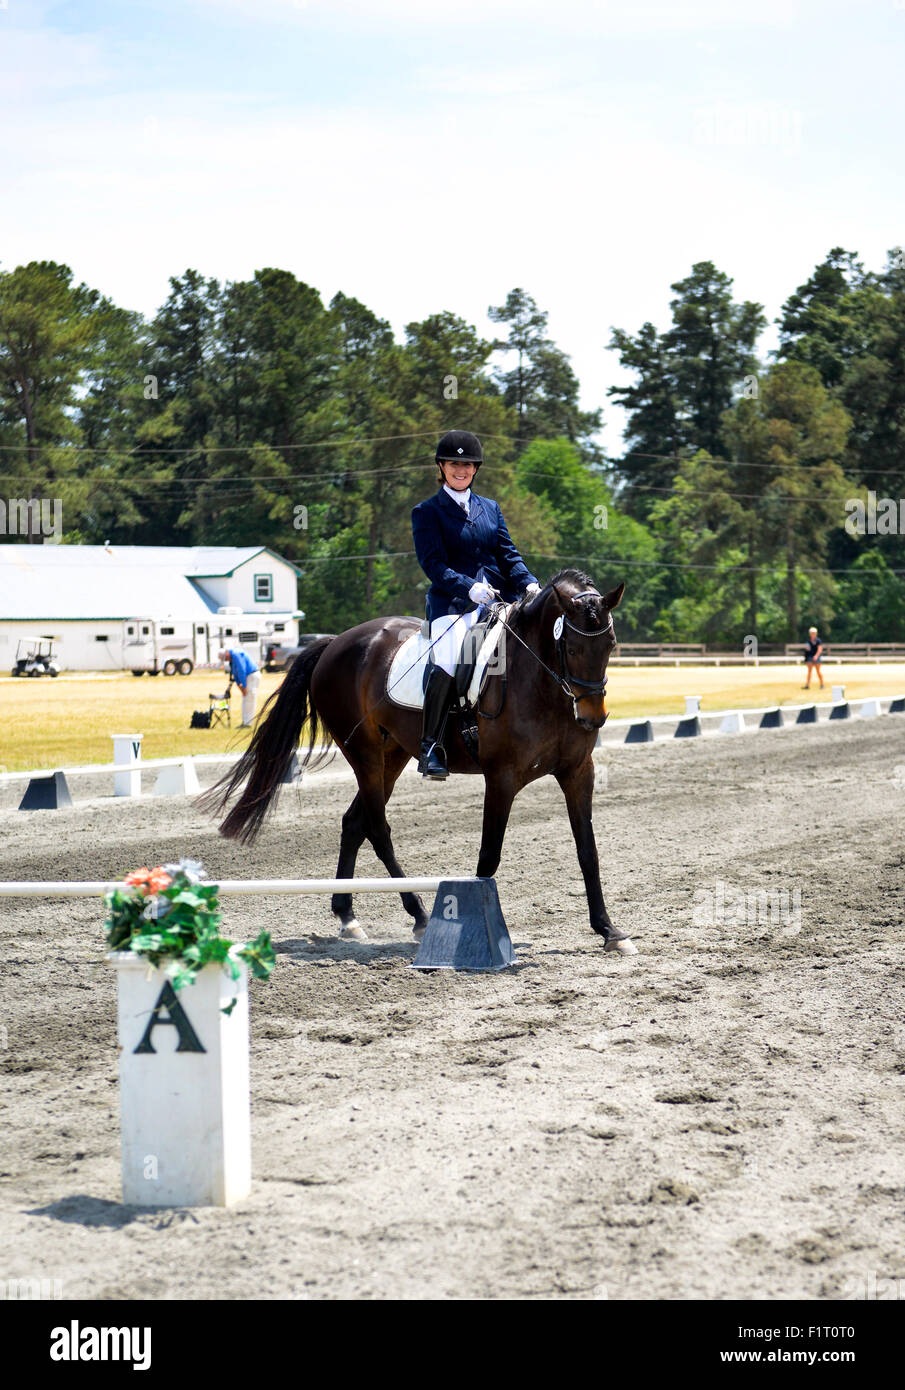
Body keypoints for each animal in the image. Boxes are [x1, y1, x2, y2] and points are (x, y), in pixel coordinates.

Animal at [200, 569, 636, 950]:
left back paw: (349, 917)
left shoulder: (578, 772)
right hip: (365, 755)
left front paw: (609, 931)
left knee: (354, 823)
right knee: (377, 829)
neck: (542, 681)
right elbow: (488, 857)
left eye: (611, 644)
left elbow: (587, 851)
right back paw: (420, 914)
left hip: (393, 755)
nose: (592, 717)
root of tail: (336, 642)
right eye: (572, 647)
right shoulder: (501, 777)